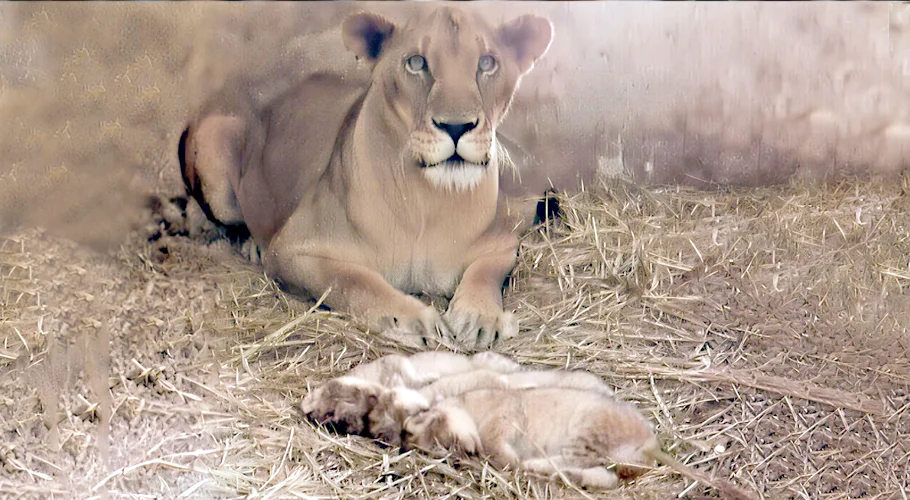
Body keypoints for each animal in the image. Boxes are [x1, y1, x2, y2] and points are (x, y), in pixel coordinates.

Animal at [178, 7, 554, 350]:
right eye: (416, 62)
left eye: (487, 63)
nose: (456, 126)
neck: (425, 200)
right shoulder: (291, 250)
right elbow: (352, 281)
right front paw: (414, 321)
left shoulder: (502, 239)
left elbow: (485, 272)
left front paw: (479, 317)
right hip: (216, 137)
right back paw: (252, 245)